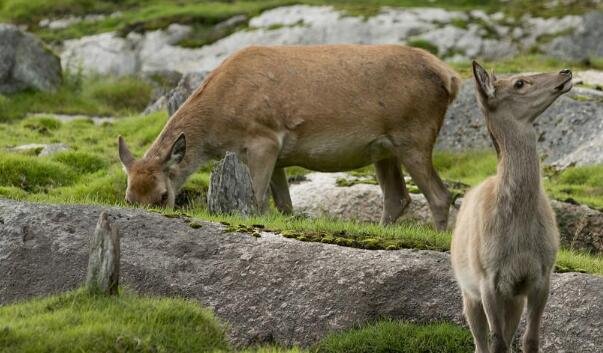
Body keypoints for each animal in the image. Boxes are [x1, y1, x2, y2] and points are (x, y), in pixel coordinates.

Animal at [118, 44, 460, 230]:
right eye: (128, 197)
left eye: (163, 195)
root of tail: (450, 77)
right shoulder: (276, 155)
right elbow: (285, 206)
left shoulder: (263, 139)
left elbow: (257, 200)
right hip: (384, 148)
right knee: (398, 197)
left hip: (414, 134)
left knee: (440, 195)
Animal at [452, 61, 572, 352]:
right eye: (519, 83)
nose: (565, 72)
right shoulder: (487, 279)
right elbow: (497, 342)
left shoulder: (541, 275)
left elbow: (530, 340)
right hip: (468, 290)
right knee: (480, 343)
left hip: (513, 299)